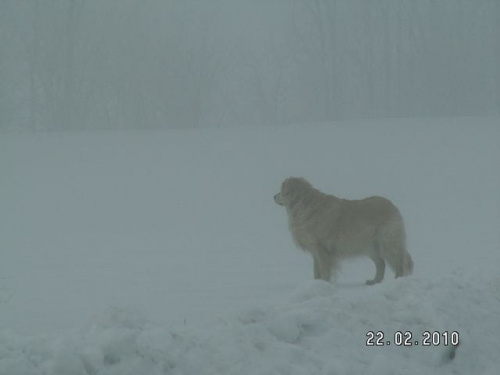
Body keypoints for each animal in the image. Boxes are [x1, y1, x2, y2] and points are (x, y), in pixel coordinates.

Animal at [276, 178, 412, 284]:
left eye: (281, 191)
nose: (273, 196)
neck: (304, 204)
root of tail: (392, 205)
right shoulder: (315, 250)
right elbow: (316, 271)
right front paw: (317, 285)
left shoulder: (322, 248)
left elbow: (324, 270)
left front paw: (324, 284)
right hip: (371, 246)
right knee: (381, 263)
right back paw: (374, 281)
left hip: (387, 243)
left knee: (399, 263)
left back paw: (398, 281)